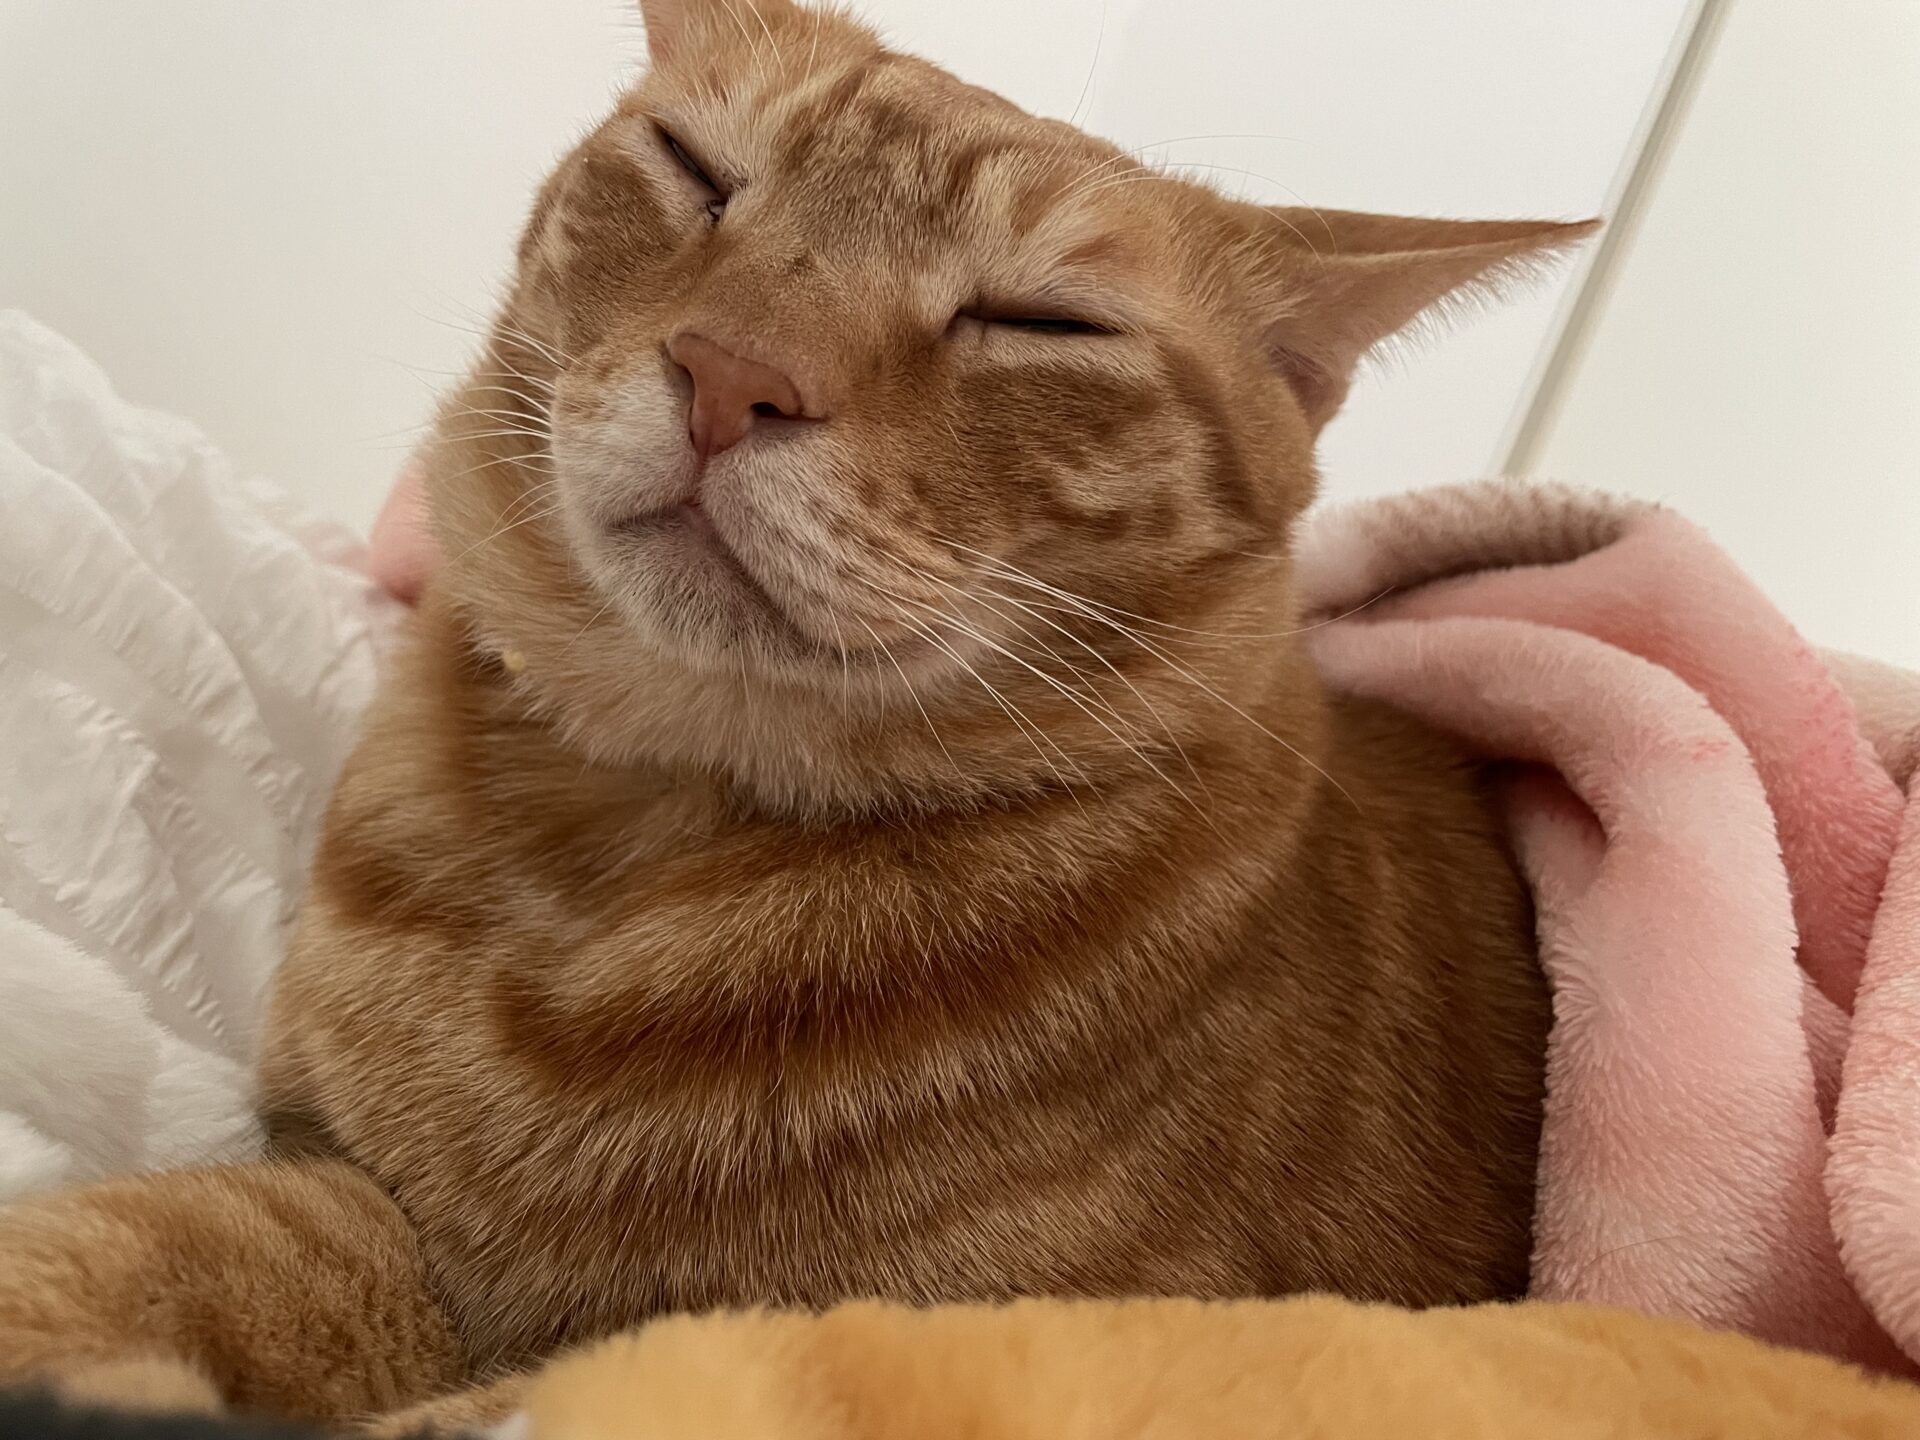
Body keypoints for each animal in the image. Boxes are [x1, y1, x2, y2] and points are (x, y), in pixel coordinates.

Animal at [0, 0, 1592, 1426]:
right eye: (696, 168)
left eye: (1040, 320)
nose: (731, 375)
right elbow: (172, 1240)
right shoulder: (357, 1194)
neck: (611, 855)